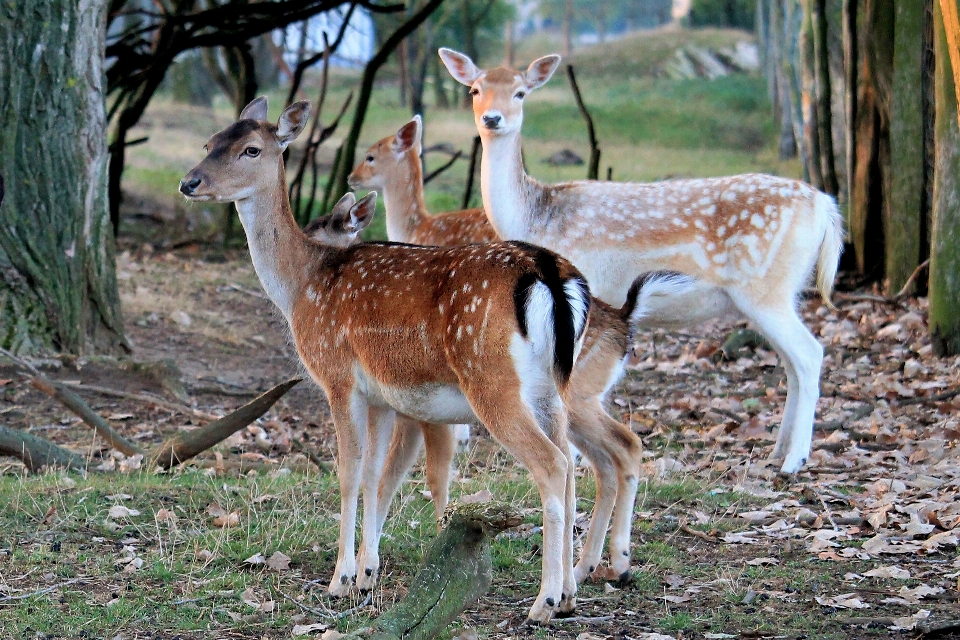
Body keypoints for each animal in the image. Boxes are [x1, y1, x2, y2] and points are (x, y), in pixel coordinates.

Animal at [178, 97, 592, 624]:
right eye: (210, 142)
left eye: (251, 149)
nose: (190, 182)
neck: (302, 286)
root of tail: (551, 276)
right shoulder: (379, 395)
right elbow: (376, 475)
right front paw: (367, 575)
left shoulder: (337, 375)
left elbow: (349, 472)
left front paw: (340, 580)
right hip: (553, 387)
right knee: (572, 464)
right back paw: (570, 596)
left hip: (492, 380)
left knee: (553, 464)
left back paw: (545, 601)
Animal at [344, 115, 644, 584]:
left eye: (371, 155)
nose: (352, 177)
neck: (418, 225)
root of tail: (625, 326)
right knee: (605, 457)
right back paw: (596, 566)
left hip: (569, 395)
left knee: (614, 450)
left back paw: (598, 566)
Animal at [438, 48, 844, 476]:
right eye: (475, 89)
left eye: (520, 92)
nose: (492, 118)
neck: (536, 217)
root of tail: (826, 207)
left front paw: (577, 455)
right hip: (783, 290)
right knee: (791, 361)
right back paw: (779, 451)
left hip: (765, 288)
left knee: (809, 353)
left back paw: (795, 459)